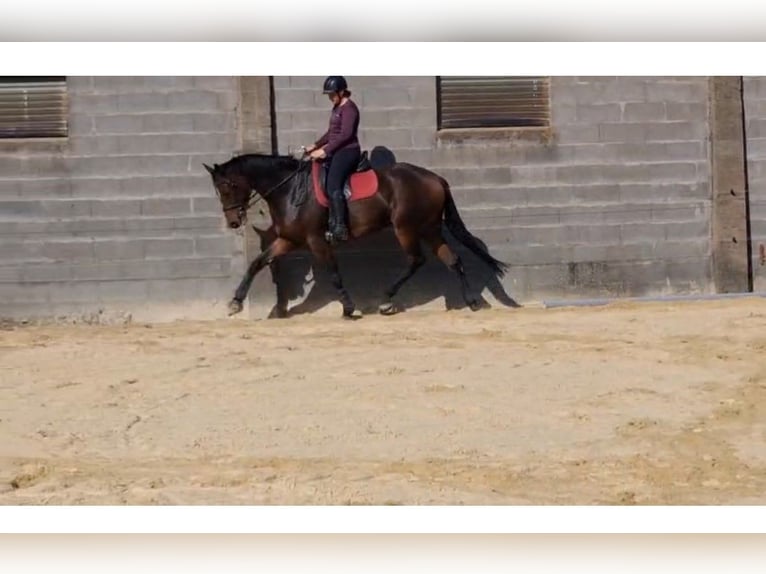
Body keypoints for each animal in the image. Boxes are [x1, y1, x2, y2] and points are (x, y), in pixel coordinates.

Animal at [203, 150, 509, 319]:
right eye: (218, 190)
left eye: (228, 186)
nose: (233, 221)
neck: (289, 190)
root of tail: (436, 179)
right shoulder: (288, 240)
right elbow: (257, 263)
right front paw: (235, 303)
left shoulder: (316, 240)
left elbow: (334, 273)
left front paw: (349, 308)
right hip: (430, 228)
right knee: (452, 259)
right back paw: (472, 302)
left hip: (406, 228)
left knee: (416, 260)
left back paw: (386, 300)